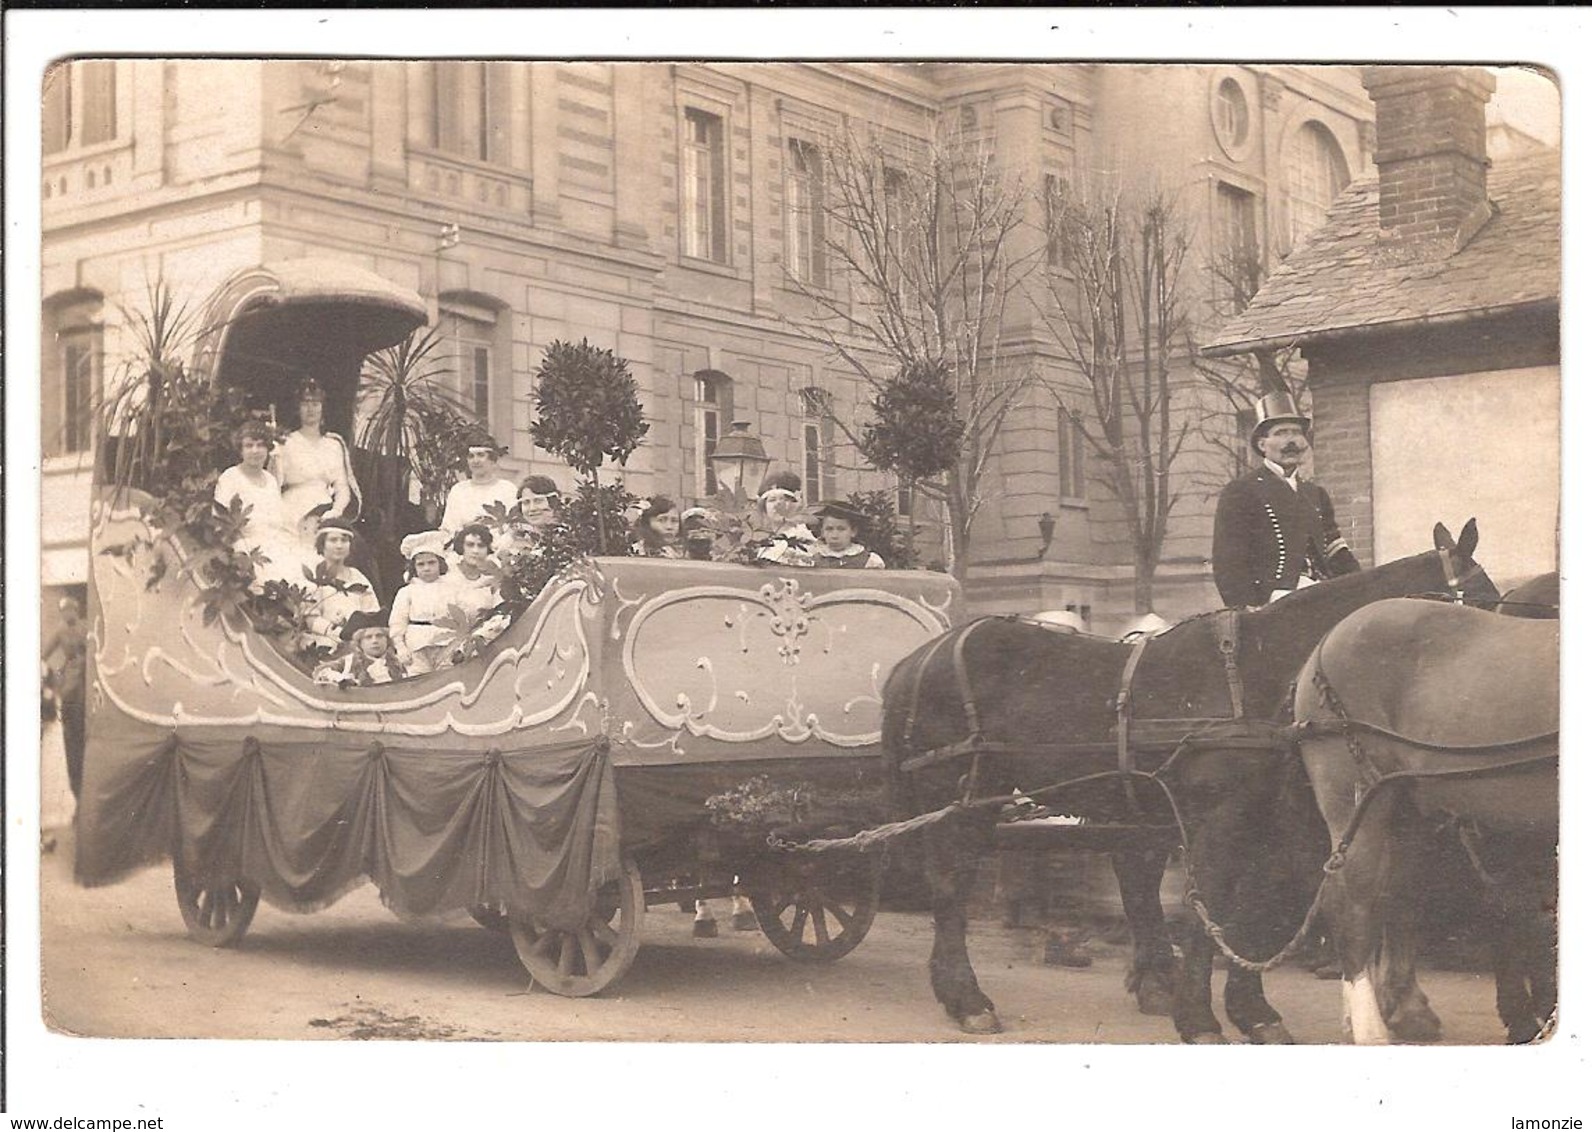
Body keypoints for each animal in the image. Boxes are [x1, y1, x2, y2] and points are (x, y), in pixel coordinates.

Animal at [878, 519, 1496, 1038]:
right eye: (1484, 603)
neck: (1262, 675)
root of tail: (915, 660)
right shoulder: (1215, 823)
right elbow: (1212, 913)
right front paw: (1199, 1017)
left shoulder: (1268, 824)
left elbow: (1256, 912)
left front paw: (1253, 1011)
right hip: (959, 797)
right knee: (950, 889)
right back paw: (966, 998)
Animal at [1292, 598, 1553, 1050]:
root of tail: (1326, 641)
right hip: (1356, 800)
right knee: (1351, 903)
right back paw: (1370, 1029)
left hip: (1404, 812)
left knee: (1391, 898)